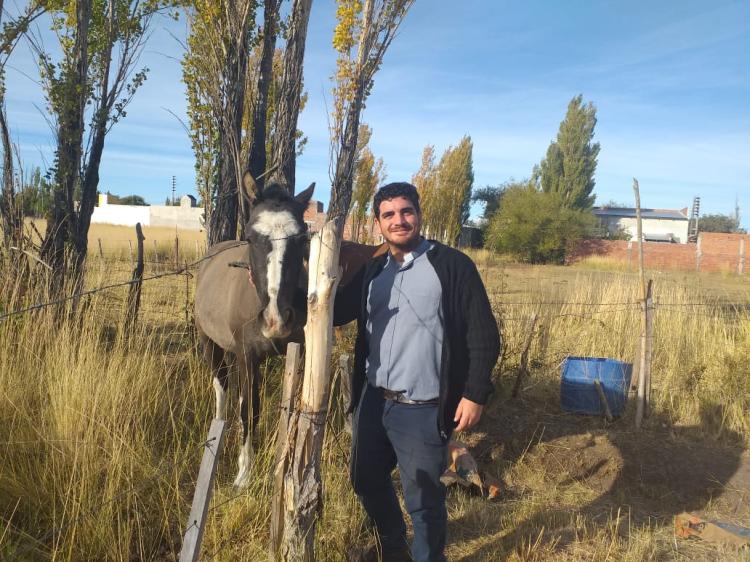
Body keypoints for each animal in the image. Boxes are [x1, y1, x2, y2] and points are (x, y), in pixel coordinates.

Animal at [197, 171, 384, 486]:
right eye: (251, 237)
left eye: (300, 239)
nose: (275, 319)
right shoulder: (247, 358)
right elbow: (249, 410)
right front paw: (244, 474)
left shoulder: (299, 354)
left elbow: (292, 409)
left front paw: (288, 466)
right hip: (210, 343)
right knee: (220, 385)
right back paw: (217, 429)